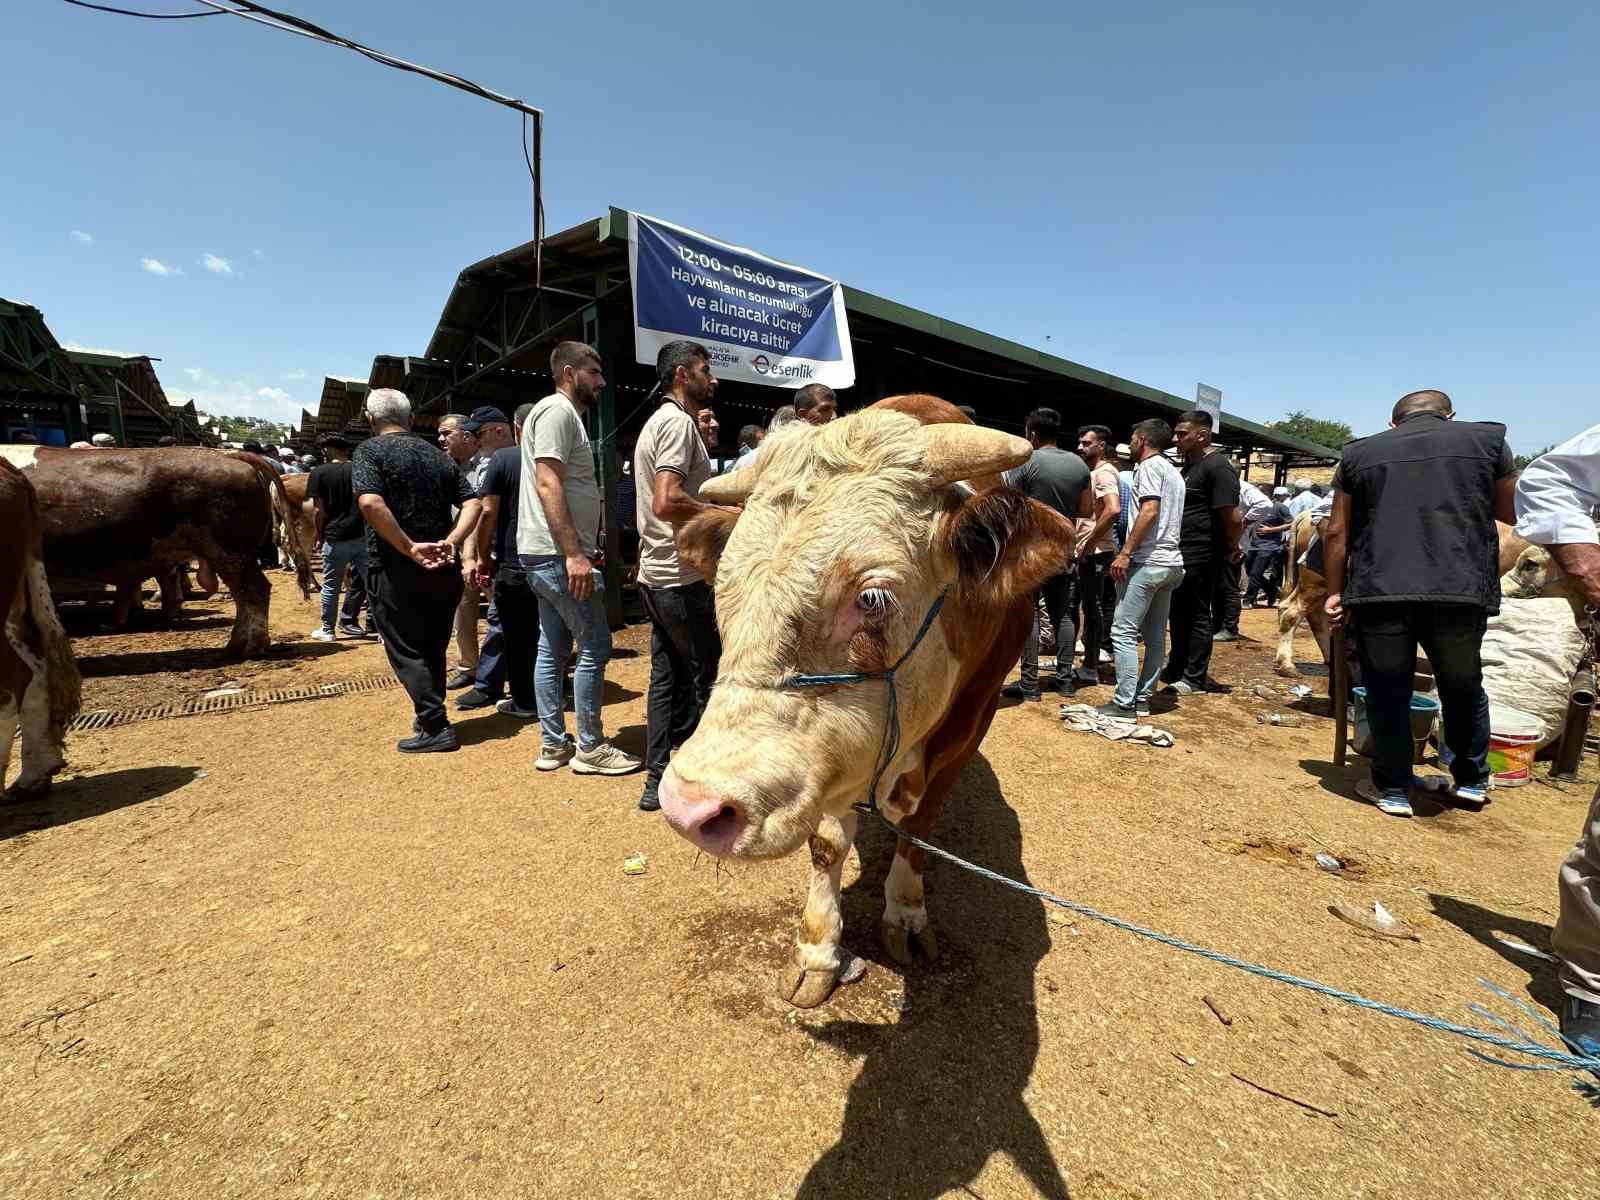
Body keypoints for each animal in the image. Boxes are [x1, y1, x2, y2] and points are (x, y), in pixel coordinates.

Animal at [0, 448, 312, 662]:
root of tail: (228, 454)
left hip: (229, 550)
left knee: (255, 590)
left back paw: (249, 647)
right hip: (226, 552)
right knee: (245, 593)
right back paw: (237, 644)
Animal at [649, 400, 1075, 1011]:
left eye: (872, 598)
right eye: (721, 587)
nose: (689, 805)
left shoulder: (968, 728)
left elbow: (917, 827)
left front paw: (907, 915)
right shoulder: (832, 765)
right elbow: (828, 843)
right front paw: (817, 951)